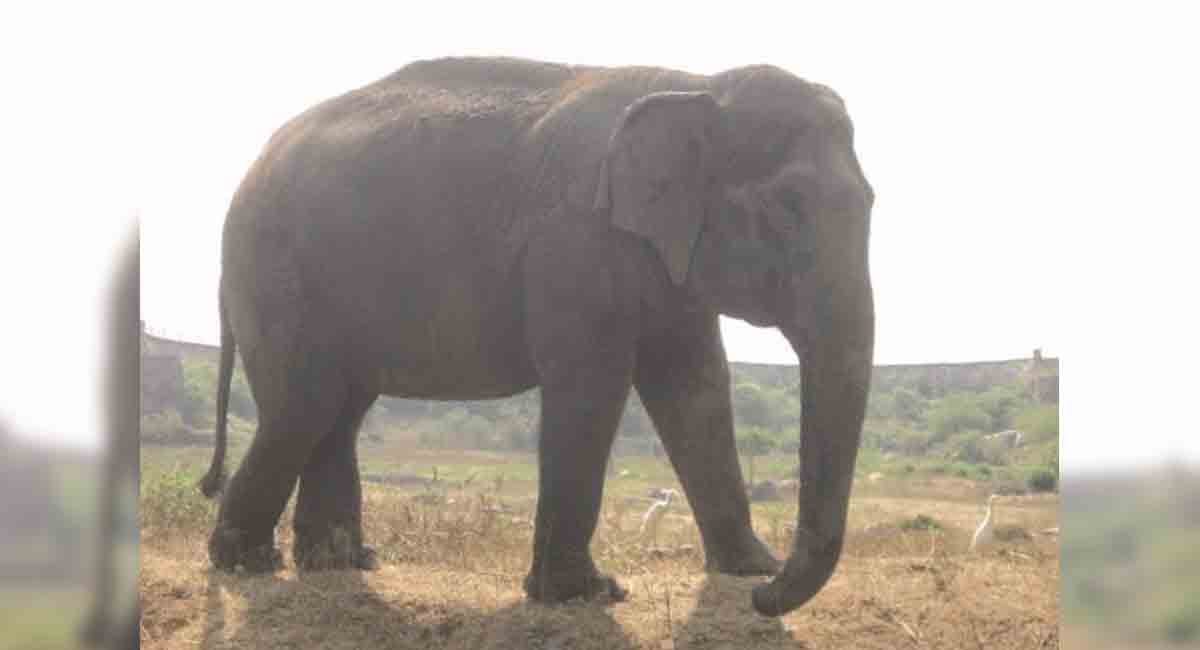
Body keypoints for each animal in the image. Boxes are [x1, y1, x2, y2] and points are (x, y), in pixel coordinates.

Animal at [199, 56, 875, 617]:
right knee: (306, 405)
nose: (767, 598)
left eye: (870, 201)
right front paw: (587, 594)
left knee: (338, 410)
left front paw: (746, 569)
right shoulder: (573, 240)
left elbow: (695, 386)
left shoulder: (666, 257)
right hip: (276, 271)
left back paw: (340, 564)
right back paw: (251, 564)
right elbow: (593, 384)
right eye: (787, 206)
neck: (698, 84)